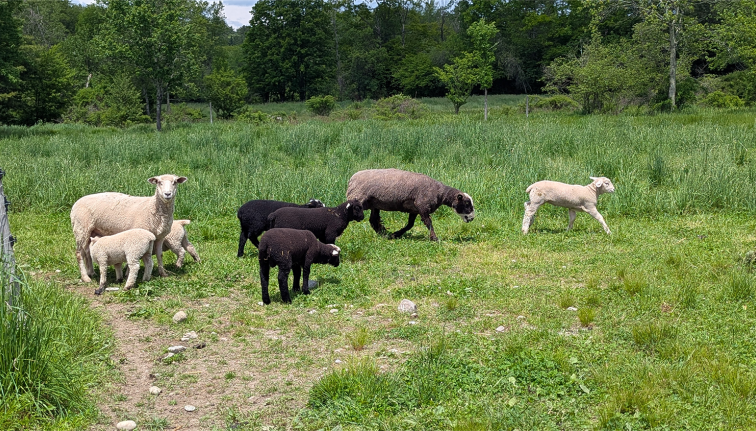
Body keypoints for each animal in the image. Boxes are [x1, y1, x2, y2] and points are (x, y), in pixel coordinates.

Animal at [346, 168, 475, 241]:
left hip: (375, 203)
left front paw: (395, 234)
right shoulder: (422, 205)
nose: (472, 218)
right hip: (358, 198)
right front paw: (434, 238)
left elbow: (410, 225)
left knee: (373, 219)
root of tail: (351, 179)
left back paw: (383, 233)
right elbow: (429, 223)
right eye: (467, 203)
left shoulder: (414, 209)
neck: (440, 193)